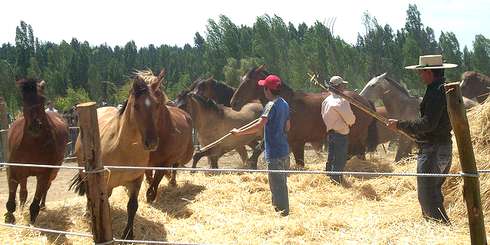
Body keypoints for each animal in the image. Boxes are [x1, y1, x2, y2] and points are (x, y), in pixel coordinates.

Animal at [5, 78, 69, 224]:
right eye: (23, 99)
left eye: (42, 98)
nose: (35, 125)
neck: (32, 145)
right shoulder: (14, 169)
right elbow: (12, 200)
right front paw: (10, 217)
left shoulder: (44, 174)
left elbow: (35, 203)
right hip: (23, 174)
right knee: (23, 192)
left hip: (53, 172)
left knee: (46, 188)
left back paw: (43, 205)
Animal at [70, 73, 161, 238]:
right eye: (136, 106)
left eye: (157, 105)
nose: (151, 142)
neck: (124, 150)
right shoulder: (104, 181)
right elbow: (101, 203)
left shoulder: (137, 180)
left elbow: (132, 206)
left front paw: (128, 234)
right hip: (85, 172)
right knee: (89, 194)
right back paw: (87, 213)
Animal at [136, 69, 195, 203]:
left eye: (157, 104)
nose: (150, 142)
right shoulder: (146, 162)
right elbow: (149, 177)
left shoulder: (165, 161)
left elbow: (157, 179)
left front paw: (151, 195)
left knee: (175, 167)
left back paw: (172, 181)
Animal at [231, 66, 378, 167]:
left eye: (248, 82)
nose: (233, 103)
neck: (288, 104)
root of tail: (365, 101)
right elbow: (257, 150)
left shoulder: (298, 143)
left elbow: (299, 163)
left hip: (355, 136)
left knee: (358, 152)